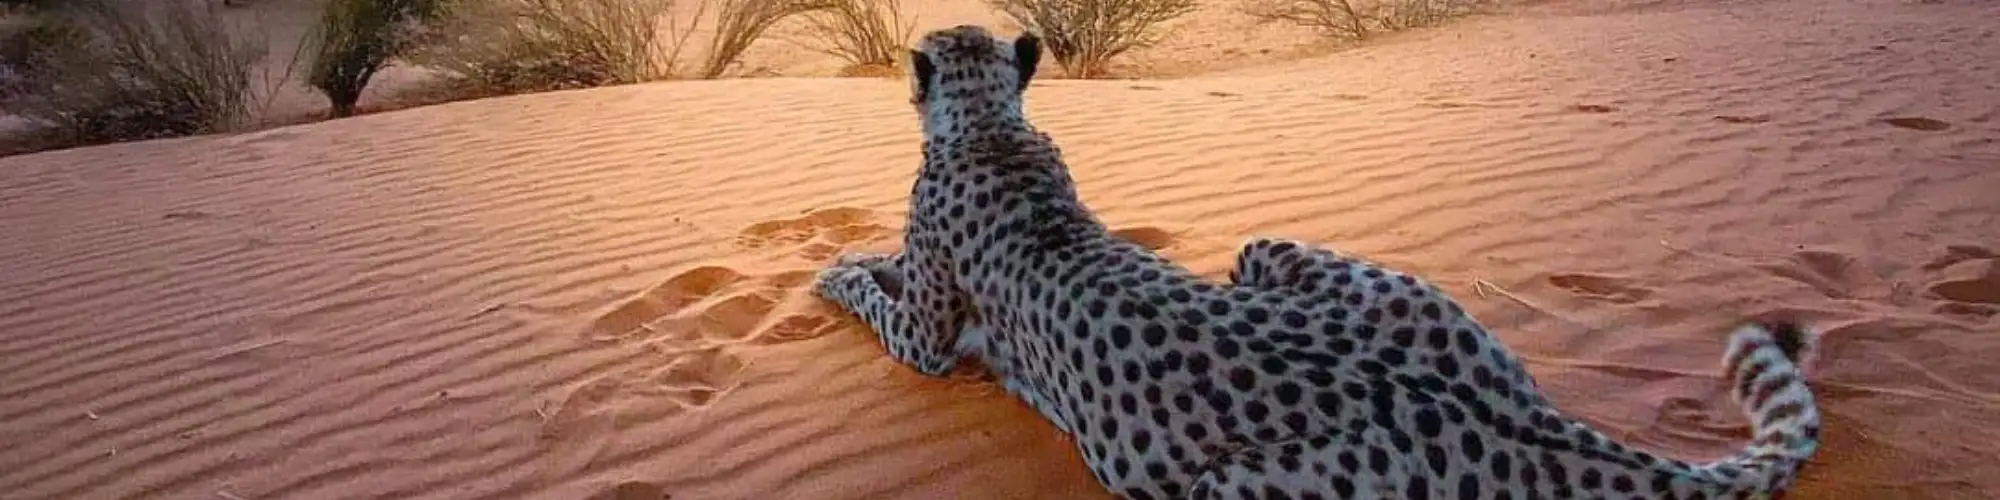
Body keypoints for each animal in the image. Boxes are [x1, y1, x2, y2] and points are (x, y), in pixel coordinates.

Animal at [813, 24, 1824, 500]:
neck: (990, 124)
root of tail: (1505, 411)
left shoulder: (927, 342)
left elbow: (879, 294)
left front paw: (835, 269)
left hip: (1223, 485)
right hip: (1283, 256)